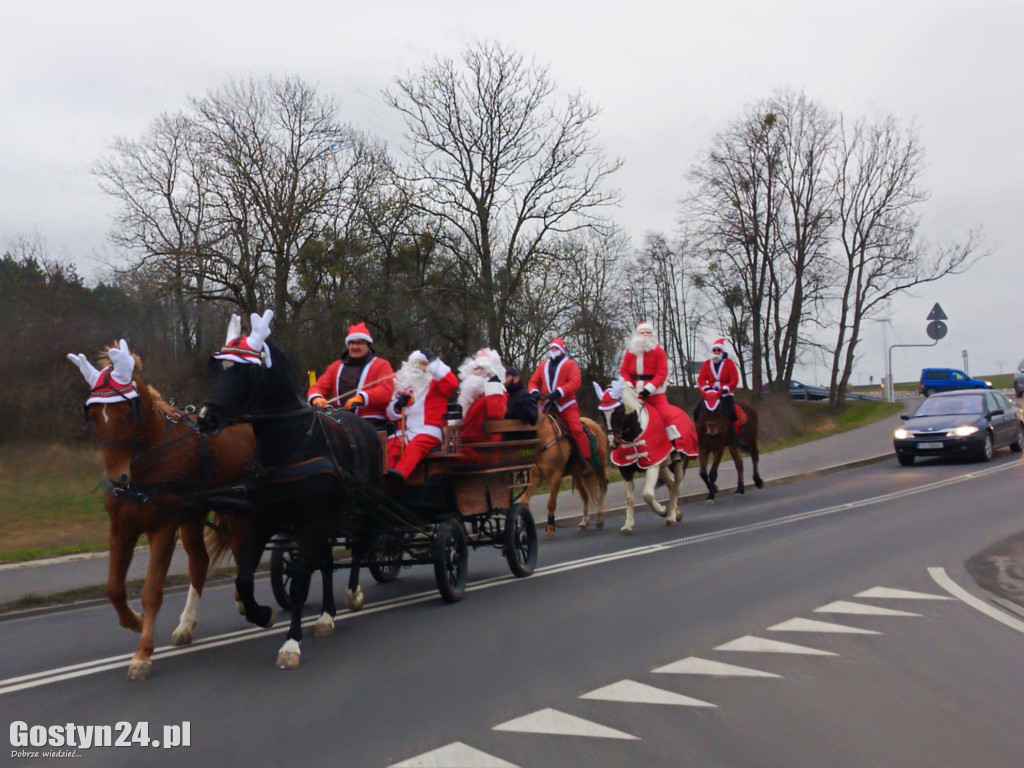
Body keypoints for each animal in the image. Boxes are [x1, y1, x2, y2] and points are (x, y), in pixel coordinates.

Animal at [68, 339, 256, 684]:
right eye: (94, 414)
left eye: (126, 411)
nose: (118, 478)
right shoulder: (122, 528)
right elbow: (114, 588)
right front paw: (135, 621)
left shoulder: (164, 527)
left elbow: (152, 590)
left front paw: (143, 652)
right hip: (194, 516)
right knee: (199, 562)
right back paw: (186, 623)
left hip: (236, 510)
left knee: (241, 549)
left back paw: (242, 599)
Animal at [195, 327, 380, 671]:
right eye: (217, 368)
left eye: (244, 370)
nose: (205, 418)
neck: (291, 444)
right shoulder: (264, 520)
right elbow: (244, 580)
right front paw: (262, 614)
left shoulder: (310, 520)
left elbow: (299, 583)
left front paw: (291, 642)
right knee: (326, 562)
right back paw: (326, 615)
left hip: (362, 507)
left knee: (361, 546)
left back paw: (352, 593)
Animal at [598, 380, 692, 536]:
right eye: (602, 412)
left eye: (618, 411)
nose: (613, 443)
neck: (632, 436)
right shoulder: (626, 470)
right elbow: (629, 498)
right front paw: (627, 525)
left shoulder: (652, 465)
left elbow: (647, 495)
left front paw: (662, 510)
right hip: (663, 466)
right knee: (671, 484)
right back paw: (675, 513)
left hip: (679, 463)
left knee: (677, 485)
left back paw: (671, 516)